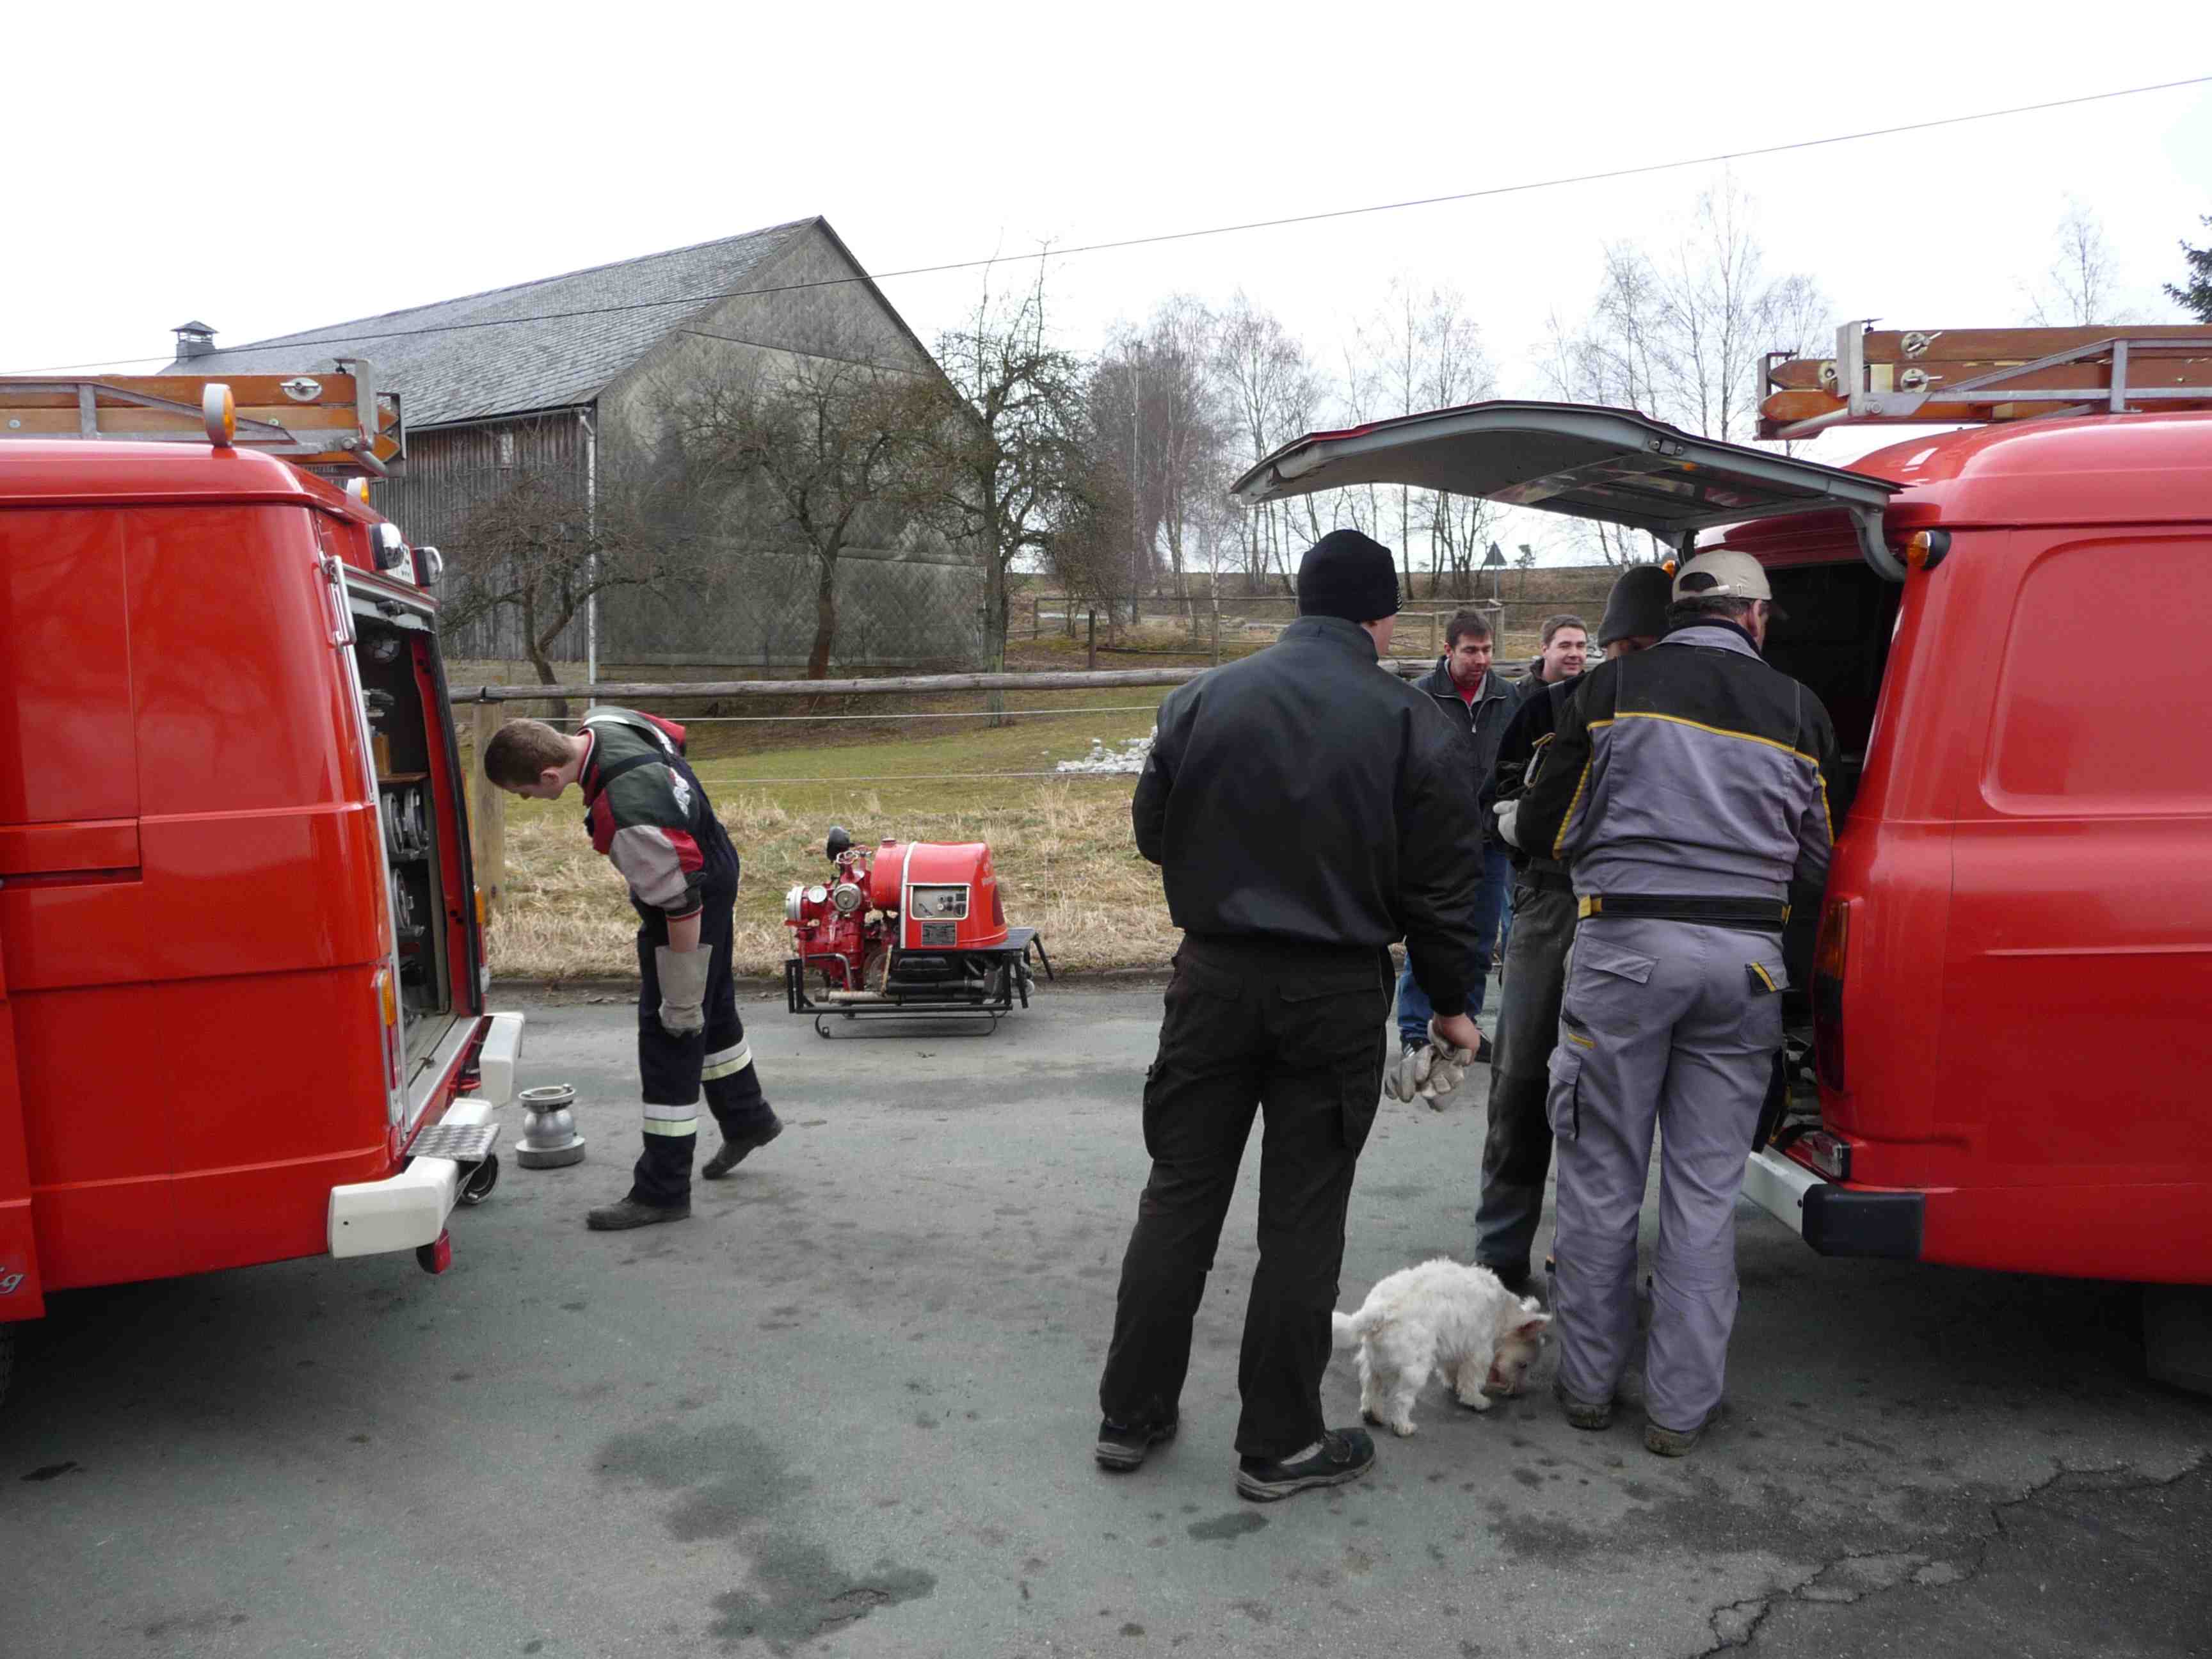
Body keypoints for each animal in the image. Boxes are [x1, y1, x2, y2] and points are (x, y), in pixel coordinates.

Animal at [1327, 1265, 1557, 1433]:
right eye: (1523, 1365)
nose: (1517, 1393)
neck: (1503, 1312)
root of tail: (1378, 1312)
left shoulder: (1457, 1348)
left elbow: (1451, 1370)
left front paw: (1453, 1384)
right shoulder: (1479, 1352)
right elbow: (1471, 1381)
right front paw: (1476, 1401)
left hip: (1373, 1362)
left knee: (1370, 1389)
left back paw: (1372, 1414)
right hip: (1415, 1371)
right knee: (1401, 1399)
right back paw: (1403, 1426)